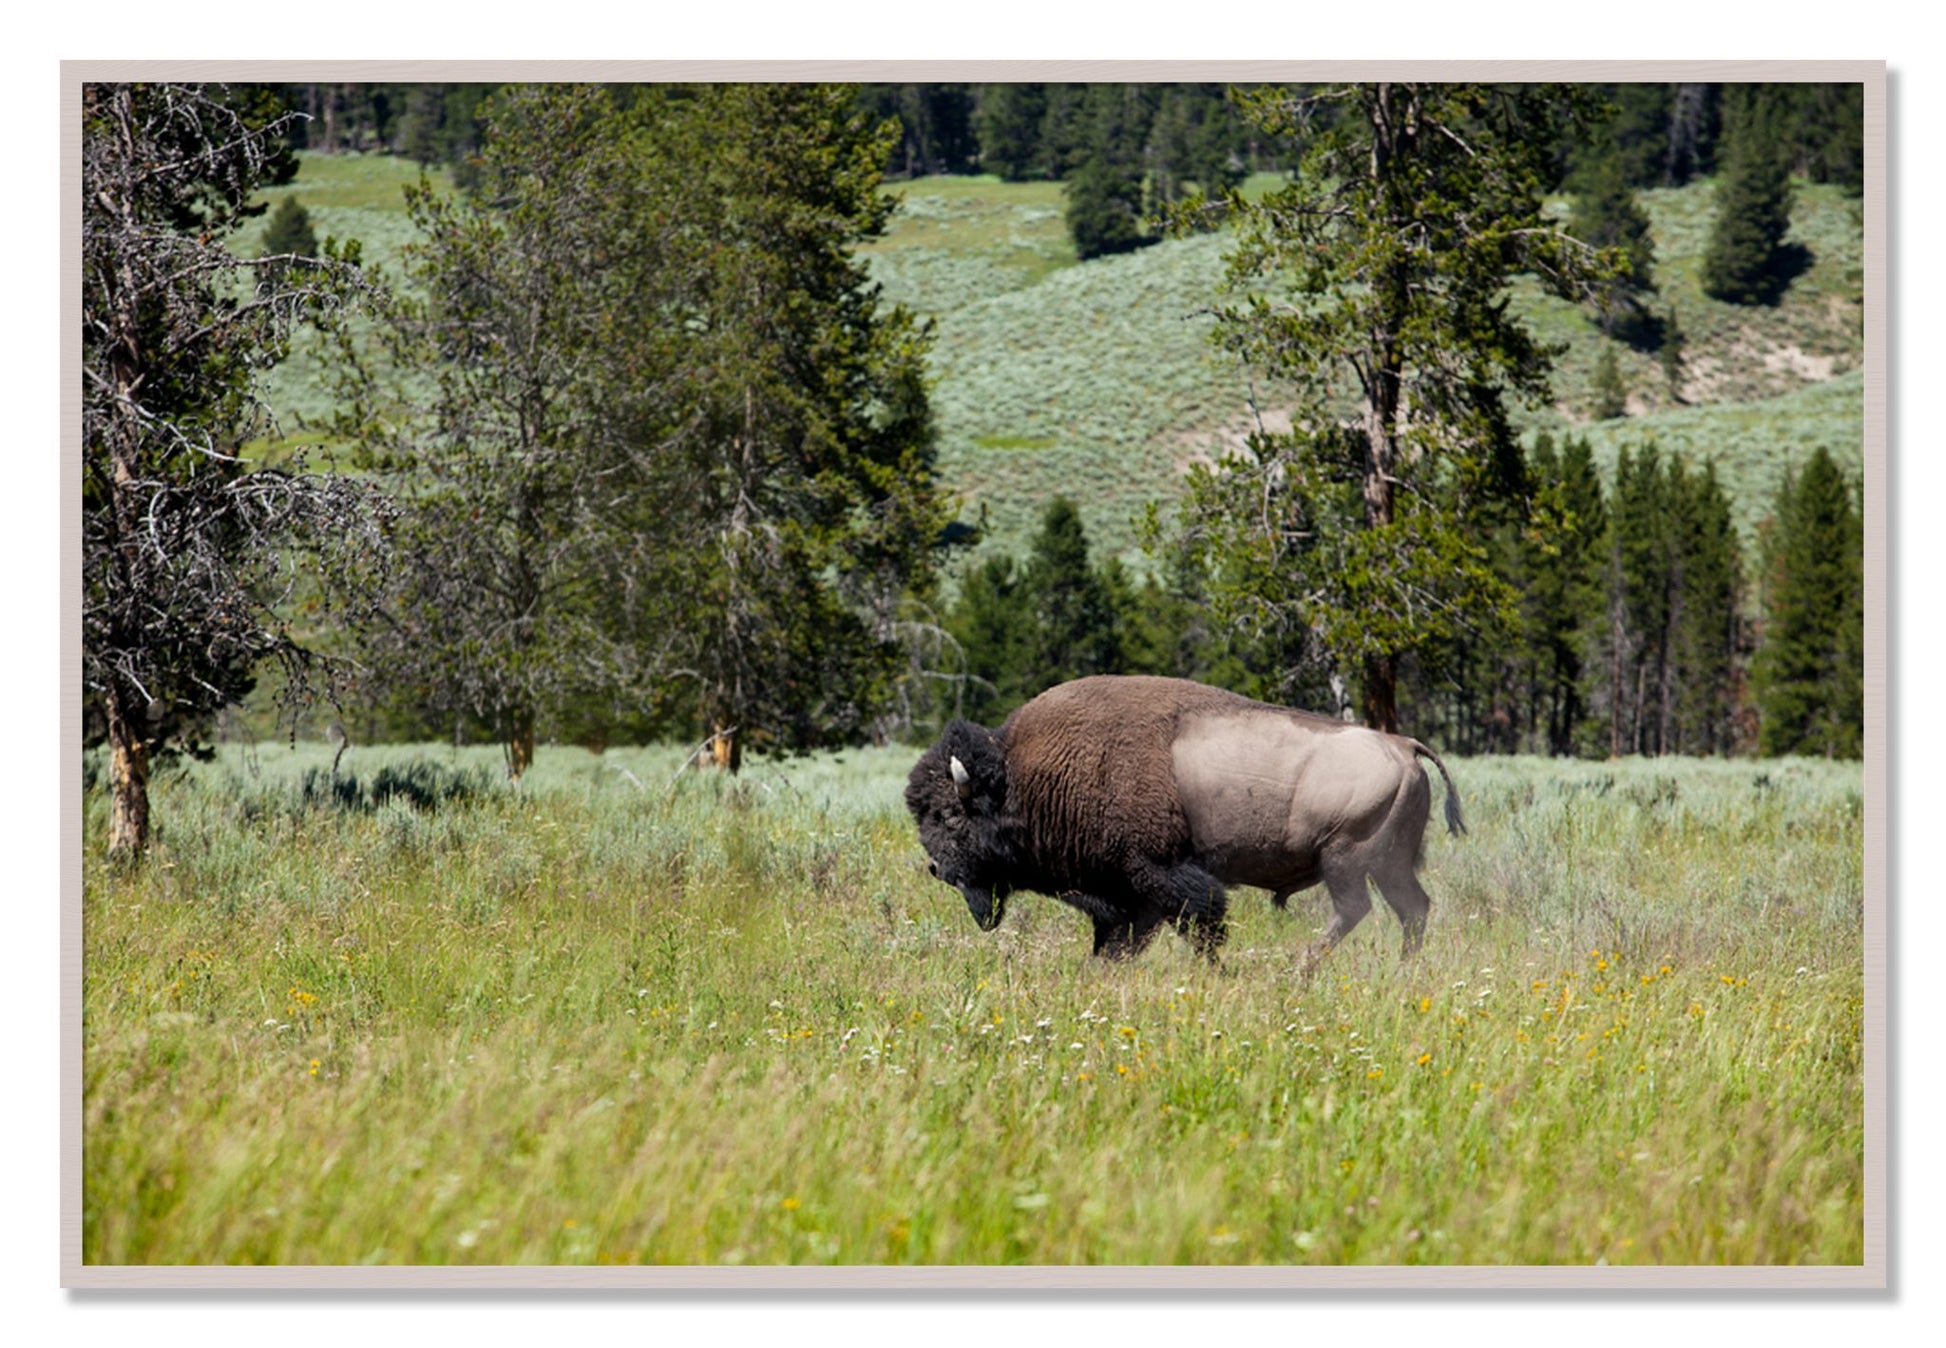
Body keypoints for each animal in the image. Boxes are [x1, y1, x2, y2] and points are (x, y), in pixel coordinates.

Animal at [905, 675, 1465, 972]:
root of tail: (1403, 745)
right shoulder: (1127, 894)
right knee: (1412, 909)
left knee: (1356, 910)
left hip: (1345, 858)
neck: (1023, 776)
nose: (937, 868)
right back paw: (1402, 969)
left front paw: (1216, 971)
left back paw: (1300, 968)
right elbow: (1121, 939)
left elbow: (1200, 924)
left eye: (949, 815)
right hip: (1388, 864)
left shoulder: (1159, 874)